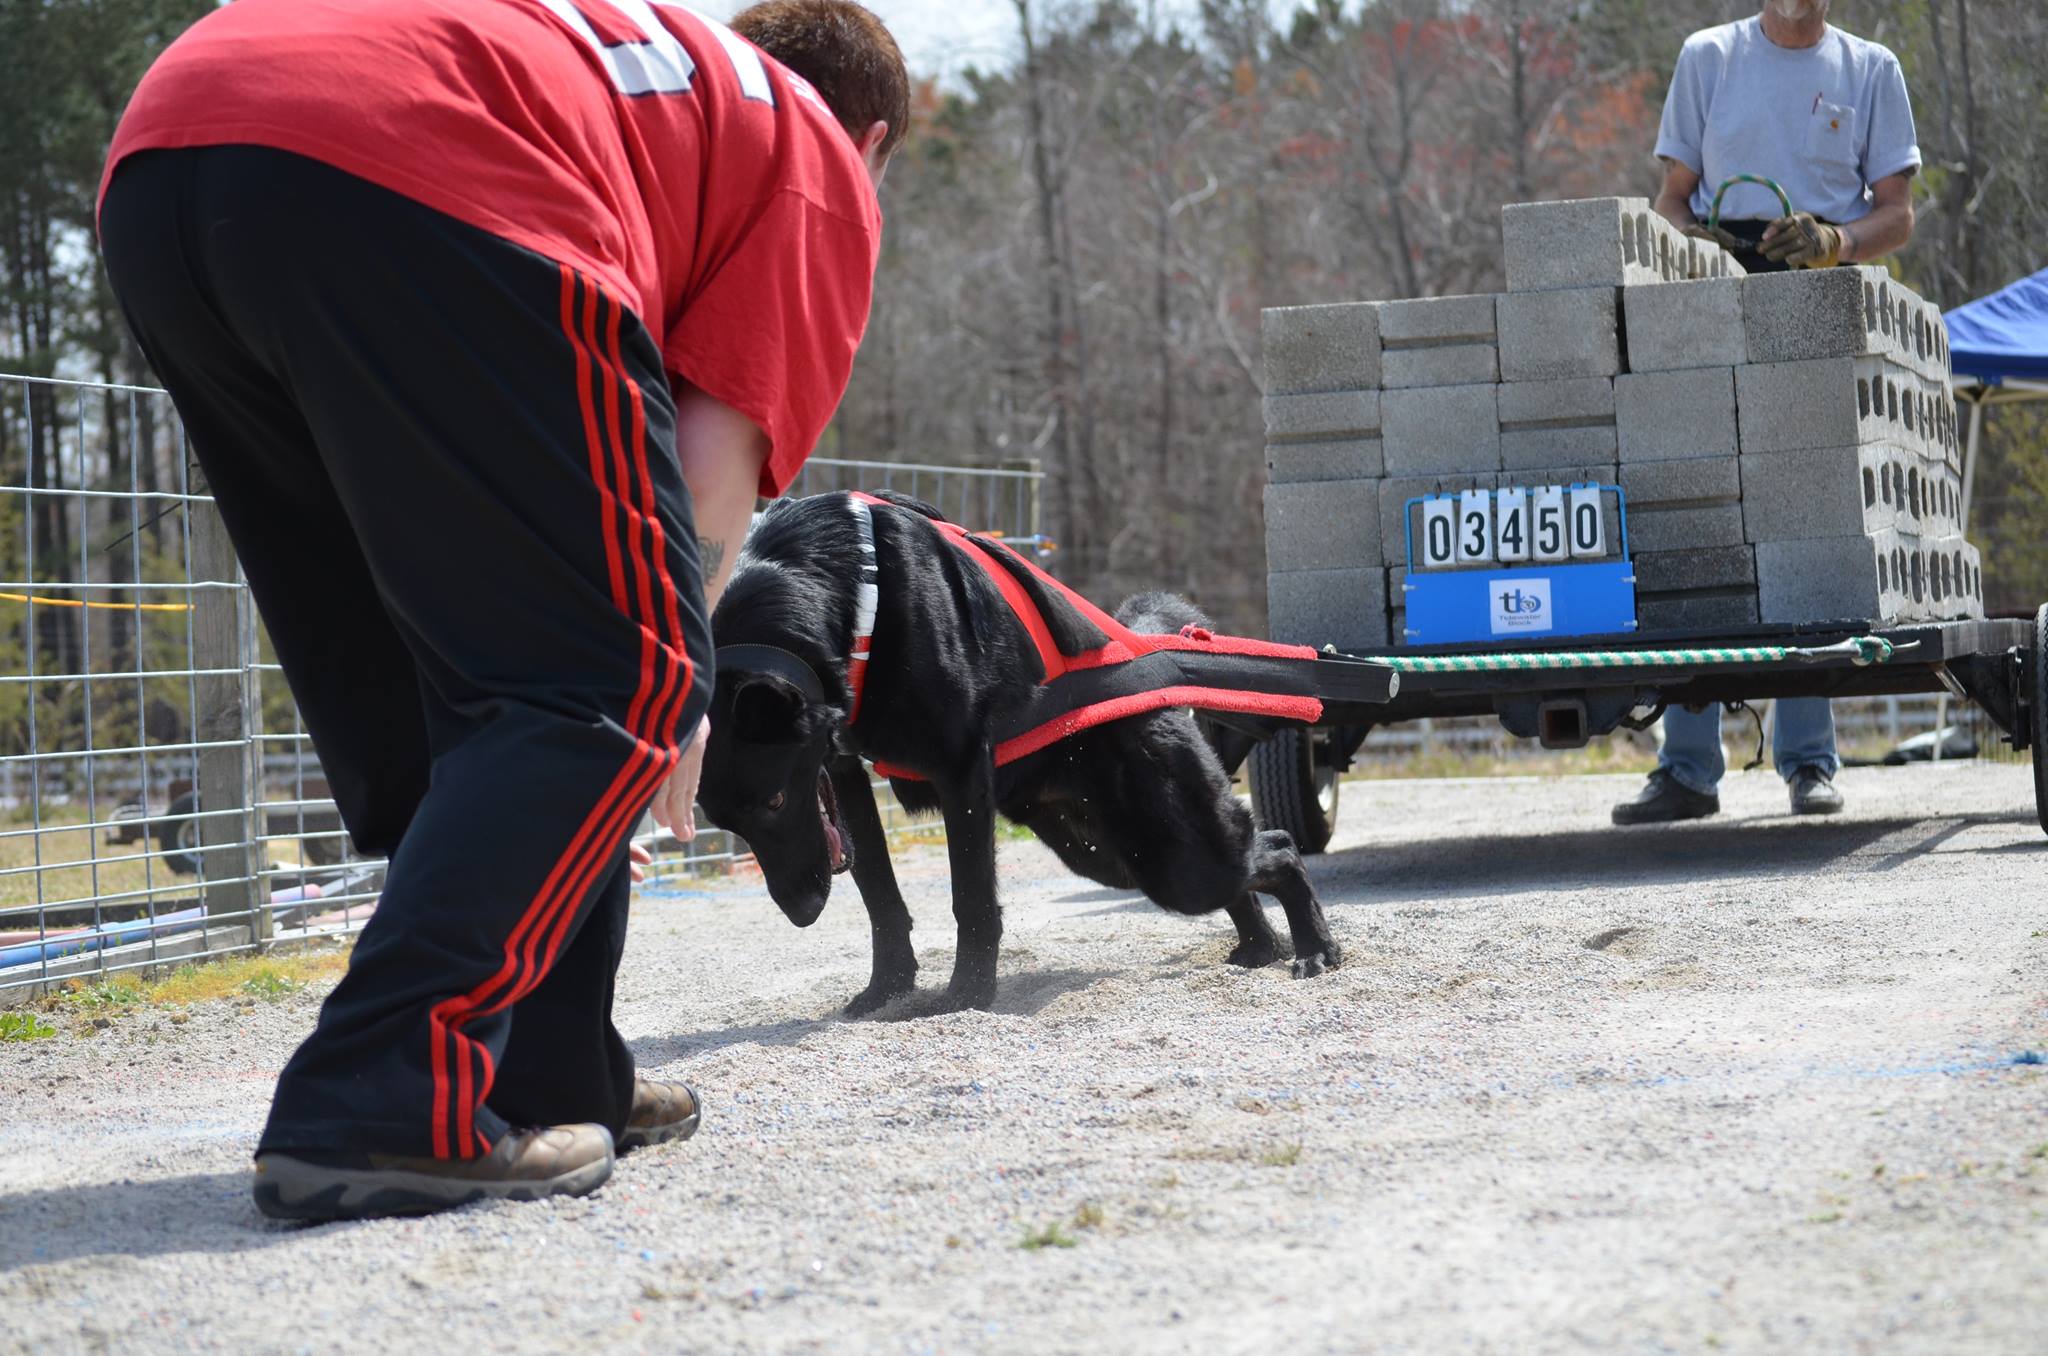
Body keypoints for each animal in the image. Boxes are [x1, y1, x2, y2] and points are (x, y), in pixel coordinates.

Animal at [704, 493, 1343, 1015]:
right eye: (724, 820)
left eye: (775, 800)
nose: (803, 910)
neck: (850, 588)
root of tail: (1150, 658)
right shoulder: (844, 776)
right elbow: (880, 898)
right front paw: (889, 990)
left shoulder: (959, 770)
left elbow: (971, 900)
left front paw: (966, 996)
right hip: (1105, 853)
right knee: (1241, 870)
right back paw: (1260, 946)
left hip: (1170, 853)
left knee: (1277, 848)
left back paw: (1313, 947)